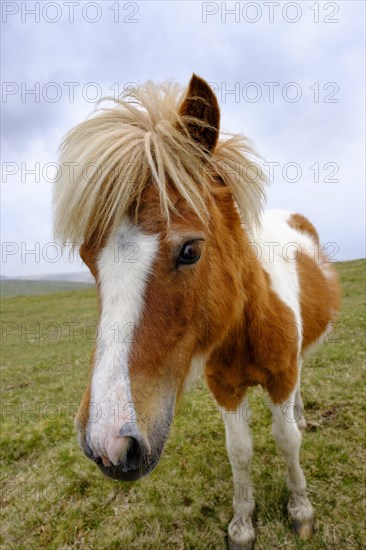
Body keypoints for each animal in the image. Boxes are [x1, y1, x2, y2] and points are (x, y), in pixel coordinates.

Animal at [53, 74, 340, 550]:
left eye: (190, 250)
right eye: (87, 257)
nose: (109, 444)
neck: (246, 324)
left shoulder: (282, 376)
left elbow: (287, 440)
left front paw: (300, 509)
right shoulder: (226, 389)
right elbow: (239, 451)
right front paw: (242, 523)